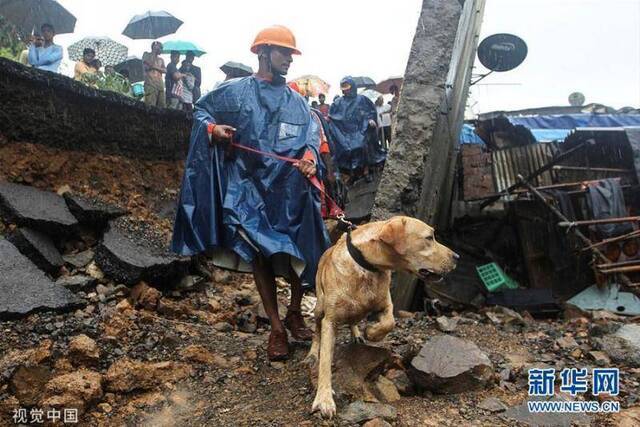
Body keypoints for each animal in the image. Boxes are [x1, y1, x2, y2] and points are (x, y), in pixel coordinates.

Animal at [304, 216, 456, 420]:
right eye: (429, 237)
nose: (457, 257)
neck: (367, 267)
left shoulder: (386, 304)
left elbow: (389, 322)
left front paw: (371, 332)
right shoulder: (330, 321)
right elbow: (326, 362)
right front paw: (324, 399)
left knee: (354, 320)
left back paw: (357, 334)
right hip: (319, 307)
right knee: (317, 331)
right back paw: (312, 353)